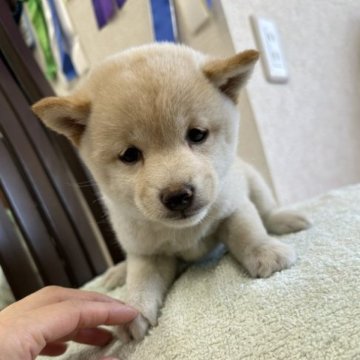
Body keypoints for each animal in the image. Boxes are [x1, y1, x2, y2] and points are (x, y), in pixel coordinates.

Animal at [32, 43, 310, 342]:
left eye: (197, 134)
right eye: (129, 155)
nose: (178, 195)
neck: (184, 231)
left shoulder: (232, 203)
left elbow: (246, 230)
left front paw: (265, 252)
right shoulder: (147, 254)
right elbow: (142, 280)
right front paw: (133, 308)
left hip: (253, 178)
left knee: (266, 209)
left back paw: (286, 220)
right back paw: (118, 271)